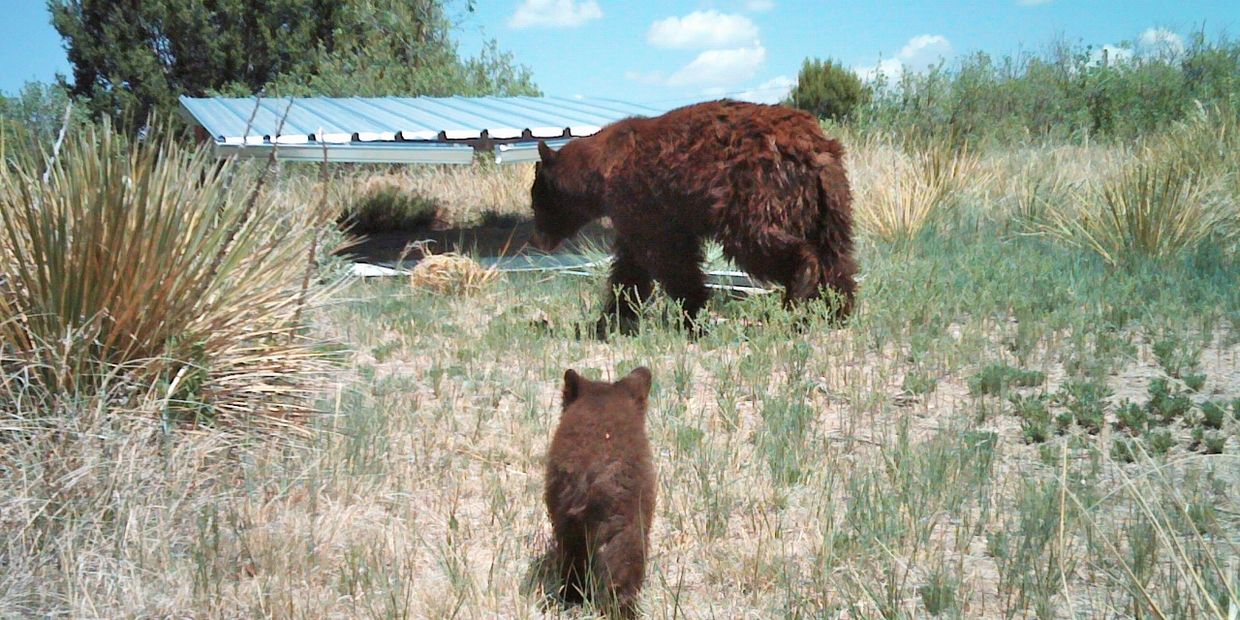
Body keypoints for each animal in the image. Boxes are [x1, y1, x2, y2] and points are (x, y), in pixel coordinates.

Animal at [528, 99, 858, 337]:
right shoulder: (640, 218)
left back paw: (801, 284)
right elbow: (631, 268)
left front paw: (692, 312)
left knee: (761, 241)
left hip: (756, 191)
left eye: (537, 201)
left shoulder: (645, 204)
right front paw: (611, 319)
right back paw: (836, 310)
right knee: (837, 257)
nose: (539, 239)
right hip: (829, 203)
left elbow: (669, 260)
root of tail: (815, 147)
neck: (602, 171)